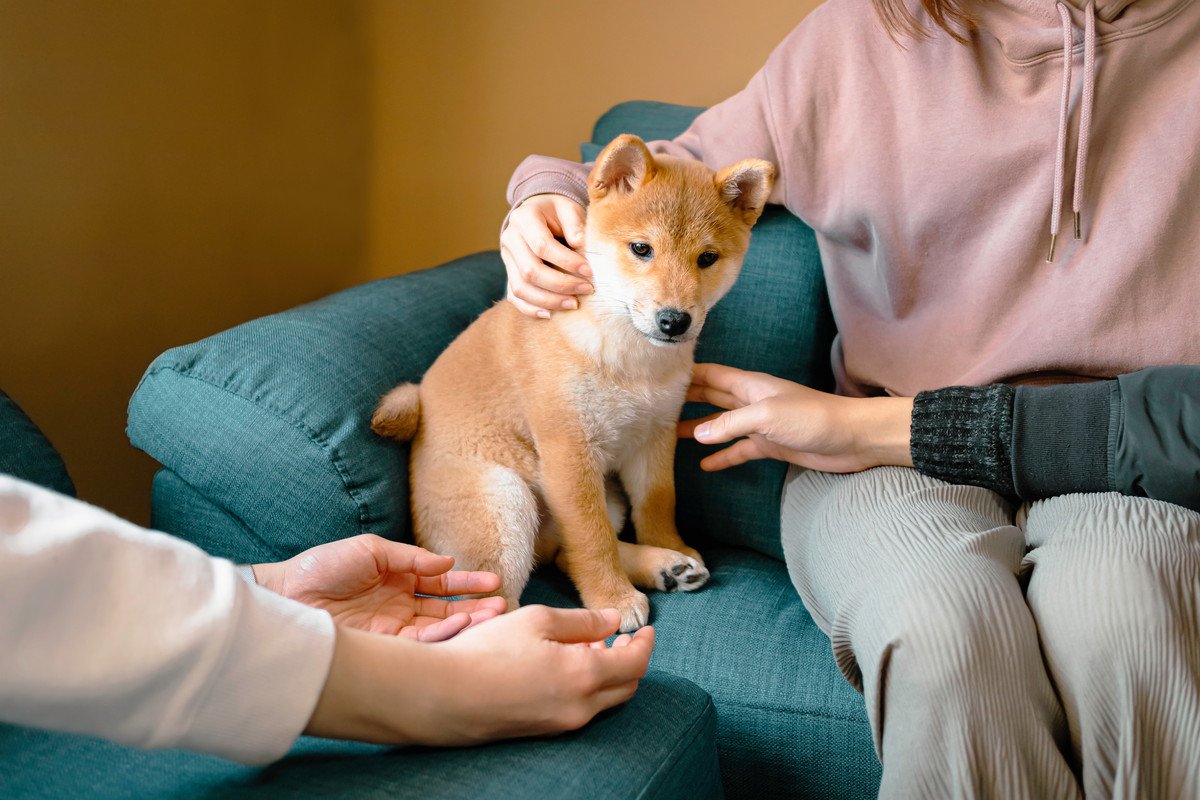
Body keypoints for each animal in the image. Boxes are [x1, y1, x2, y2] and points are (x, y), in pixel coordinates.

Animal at [369, 136, 772, 633]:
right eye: (642, 249)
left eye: (708, 258)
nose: (674, 321)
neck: (627, 353)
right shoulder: (568, 450)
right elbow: (591, 539)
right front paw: (612, 598)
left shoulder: (654, 437)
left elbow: (658, 503)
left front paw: (670, 546)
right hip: (506, 504)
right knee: (492, 606)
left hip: (597, 501)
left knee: (562, 556)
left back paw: (666, 565)